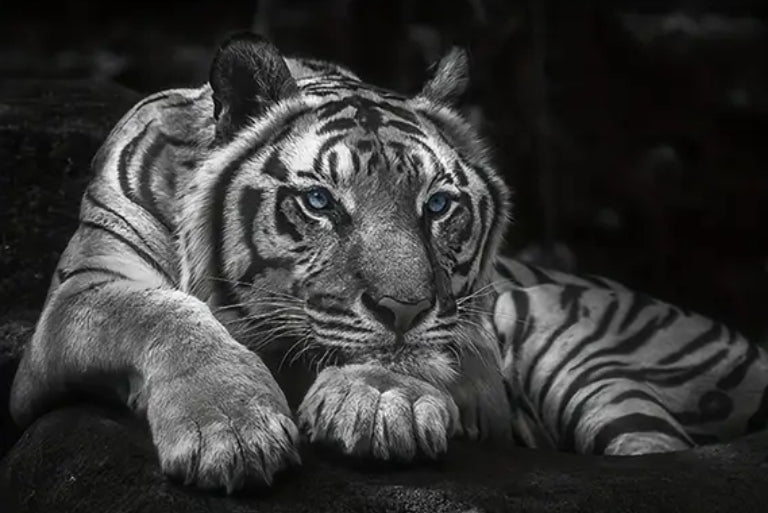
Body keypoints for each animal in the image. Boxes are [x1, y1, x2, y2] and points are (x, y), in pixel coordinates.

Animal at [9, 31, 768, 493]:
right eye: (319, 201)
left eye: (437, 205)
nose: (403, 308)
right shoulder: (85, 291)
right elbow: (164, 314)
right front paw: (230, 428)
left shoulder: (478, 346)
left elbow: (427, 353)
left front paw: (380, 399)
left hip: (587, 356)